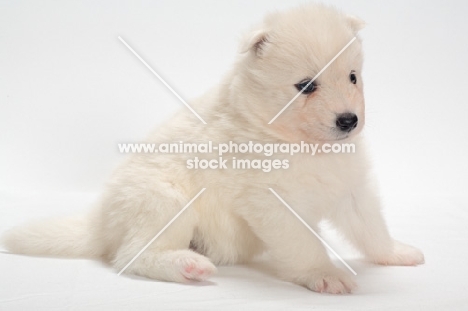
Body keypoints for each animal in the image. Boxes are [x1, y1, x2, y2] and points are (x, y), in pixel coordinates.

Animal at [1, 3, 424, 294]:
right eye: (306, 86)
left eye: (353, 77)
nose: (349, 120)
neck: (303, 143)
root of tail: (101, 223)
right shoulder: (271, 200)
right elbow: (304, 243)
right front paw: (324, 274)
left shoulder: (351, 187)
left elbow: (371, 227)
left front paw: (396, 253)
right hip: (163, 201)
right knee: (131, 255)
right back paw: (188, 266)